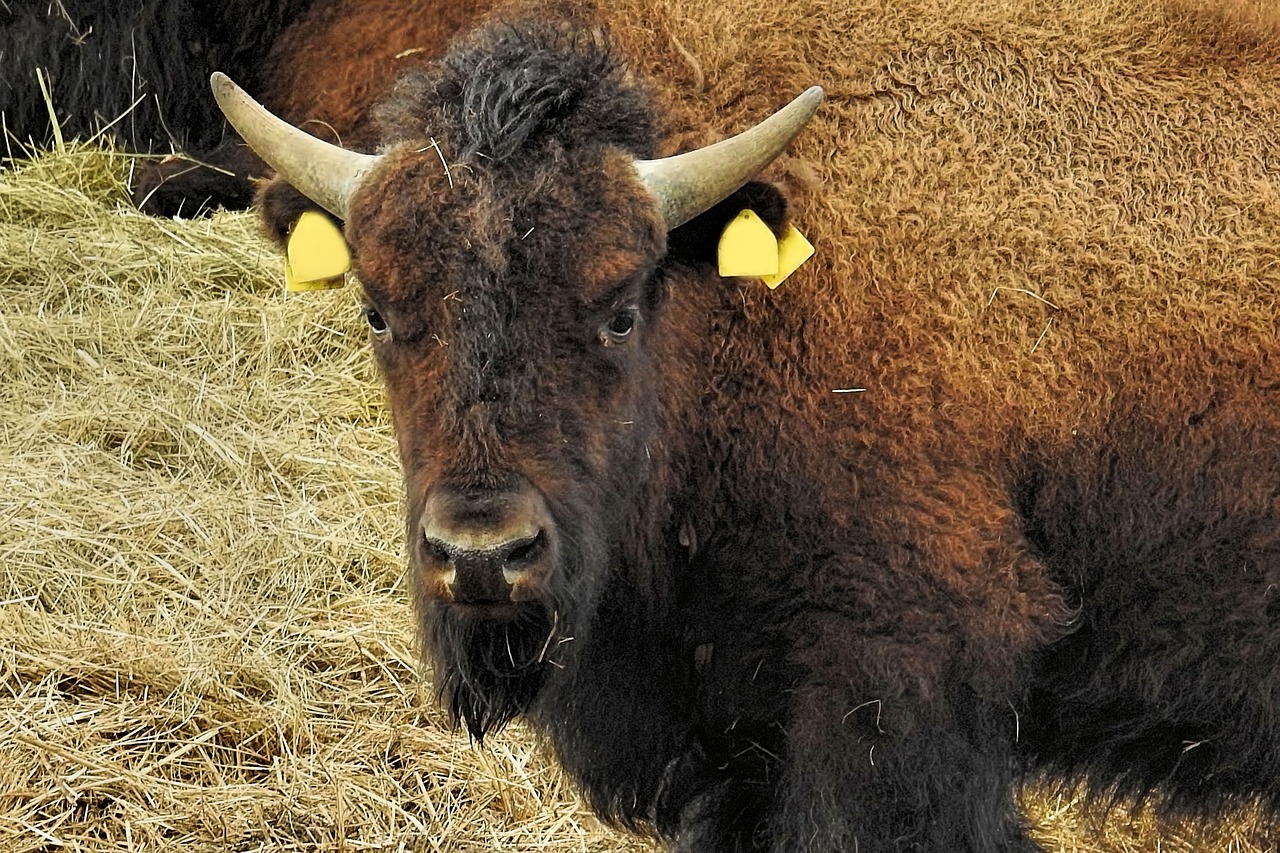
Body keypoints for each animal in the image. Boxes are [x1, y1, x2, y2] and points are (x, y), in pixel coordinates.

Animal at [212, 0, 1280, 845]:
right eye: (377, 309)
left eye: (620, 307)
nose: (482, 554)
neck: (727, 306)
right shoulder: (731, 735)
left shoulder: (897, 681)